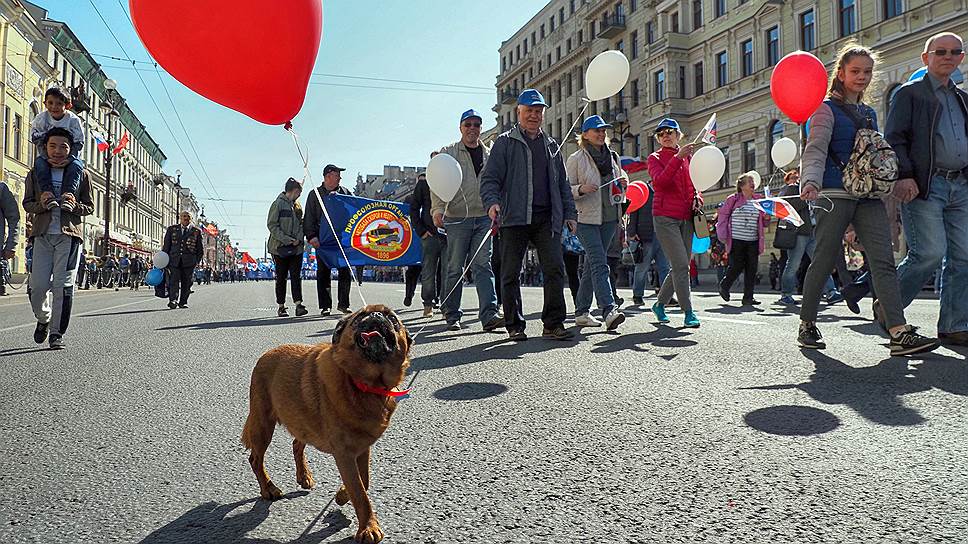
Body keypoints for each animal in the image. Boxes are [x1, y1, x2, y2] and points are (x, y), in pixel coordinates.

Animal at [242, 304, 412, 540]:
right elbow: (360, 492)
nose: (376, 315)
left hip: (302, 423)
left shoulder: (362, 448)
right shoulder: (345, 455)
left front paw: (342, 495)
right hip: (263, 425)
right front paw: (368, 526)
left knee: (296, 445)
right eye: (359, 317)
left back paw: (303, 476)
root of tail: (266, 354)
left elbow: (364, 480)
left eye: (393, 319)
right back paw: (268, 488)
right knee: (255, 459)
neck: (364, 385)